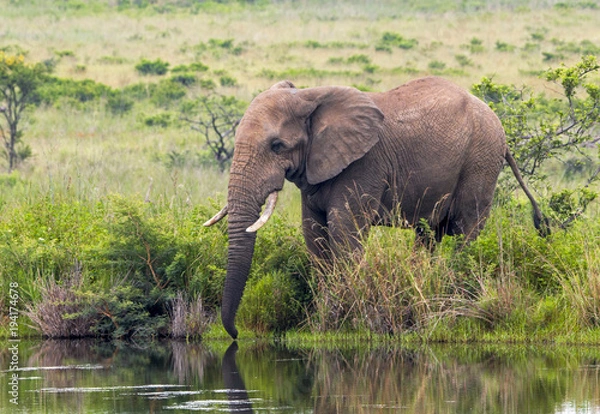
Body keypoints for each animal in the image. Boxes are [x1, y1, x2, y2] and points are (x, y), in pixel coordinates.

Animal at [204, 76, 548, 338]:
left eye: (277, 146)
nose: (235, 334)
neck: (309, 95)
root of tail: (499, 127)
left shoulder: (363, 166)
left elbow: (345, 232)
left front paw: (343, 322)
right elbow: (314, 235)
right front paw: (322, 323)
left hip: (481, 160)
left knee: (466, 231)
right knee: (429, 235)